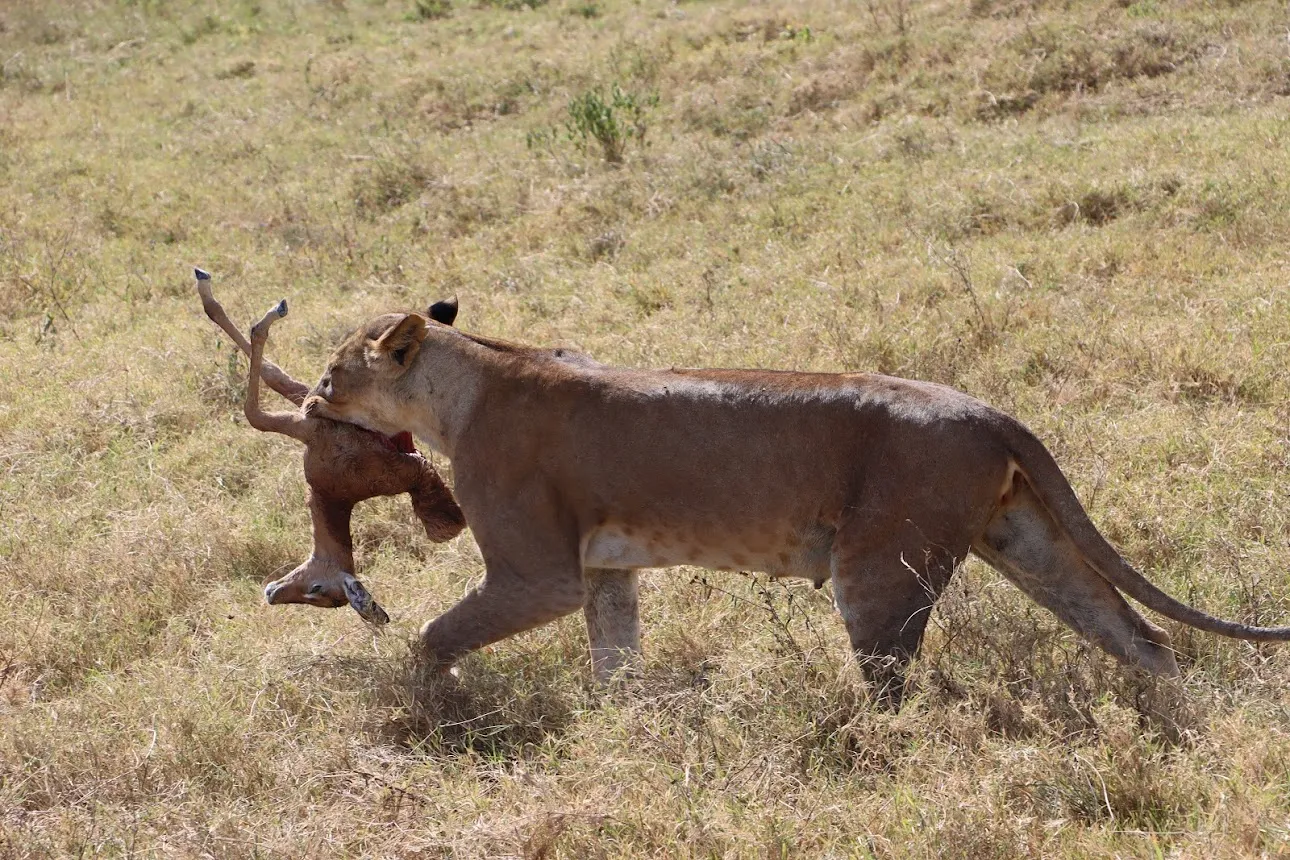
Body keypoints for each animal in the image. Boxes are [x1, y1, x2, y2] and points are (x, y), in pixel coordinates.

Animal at [196, 265, 464, 621]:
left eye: (317, 590)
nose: (271, 594)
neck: (336, 492)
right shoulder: (309, 402)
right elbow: (274, 374)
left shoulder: (302, 425)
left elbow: (254, 403)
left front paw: (268, 311)